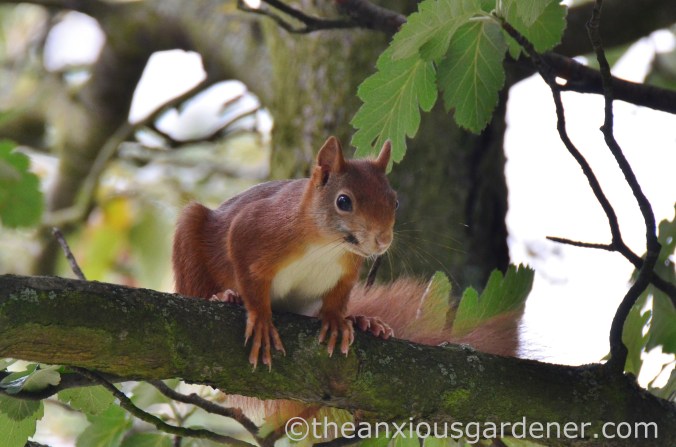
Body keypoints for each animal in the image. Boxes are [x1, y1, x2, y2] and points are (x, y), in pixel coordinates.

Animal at [172, 136, 398, 368]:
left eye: (395, 202)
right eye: (343, 201)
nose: (383, 241)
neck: (325, 246)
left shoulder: (347, 269)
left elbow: (339, 296)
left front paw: (336, 318)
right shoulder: (251, 227)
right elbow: (249, 279)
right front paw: (261, 319)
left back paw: (363, 321)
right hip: (190, 244)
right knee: (194, 287)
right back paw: (224, 296)